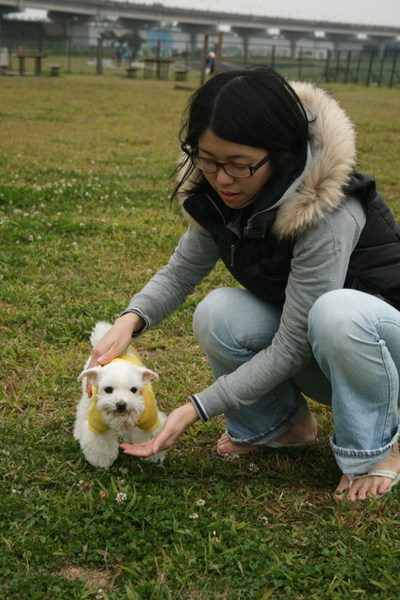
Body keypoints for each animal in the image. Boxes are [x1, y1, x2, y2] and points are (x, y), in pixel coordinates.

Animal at [74, 324, 166, 468]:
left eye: (134, 389)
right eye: (108, 389)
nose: (121, 404)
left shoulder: (150, 421)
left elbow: (151, 438)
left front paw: (153, 457)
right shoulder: (98, 425)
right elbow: (100, 445)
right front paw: (102, 463)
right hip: (87, 395)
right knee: (82, 412)